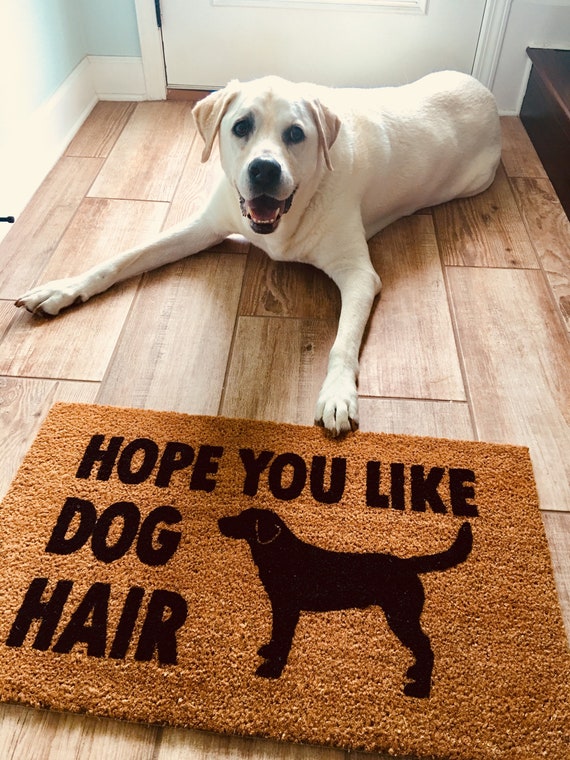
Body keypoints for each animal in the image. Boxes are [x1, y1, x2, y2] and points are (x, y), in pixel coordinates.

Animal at [15, 75, 500, 440]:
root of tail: (487, 92)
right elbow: (123, 257)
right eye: (241, 126)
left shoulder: (359, 275)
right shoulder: (204, 225)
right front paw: (63, 288)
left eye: (296, 134)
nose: (264, 169)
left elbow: (342, 343)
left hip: (473, 182)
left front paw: (338, 394)